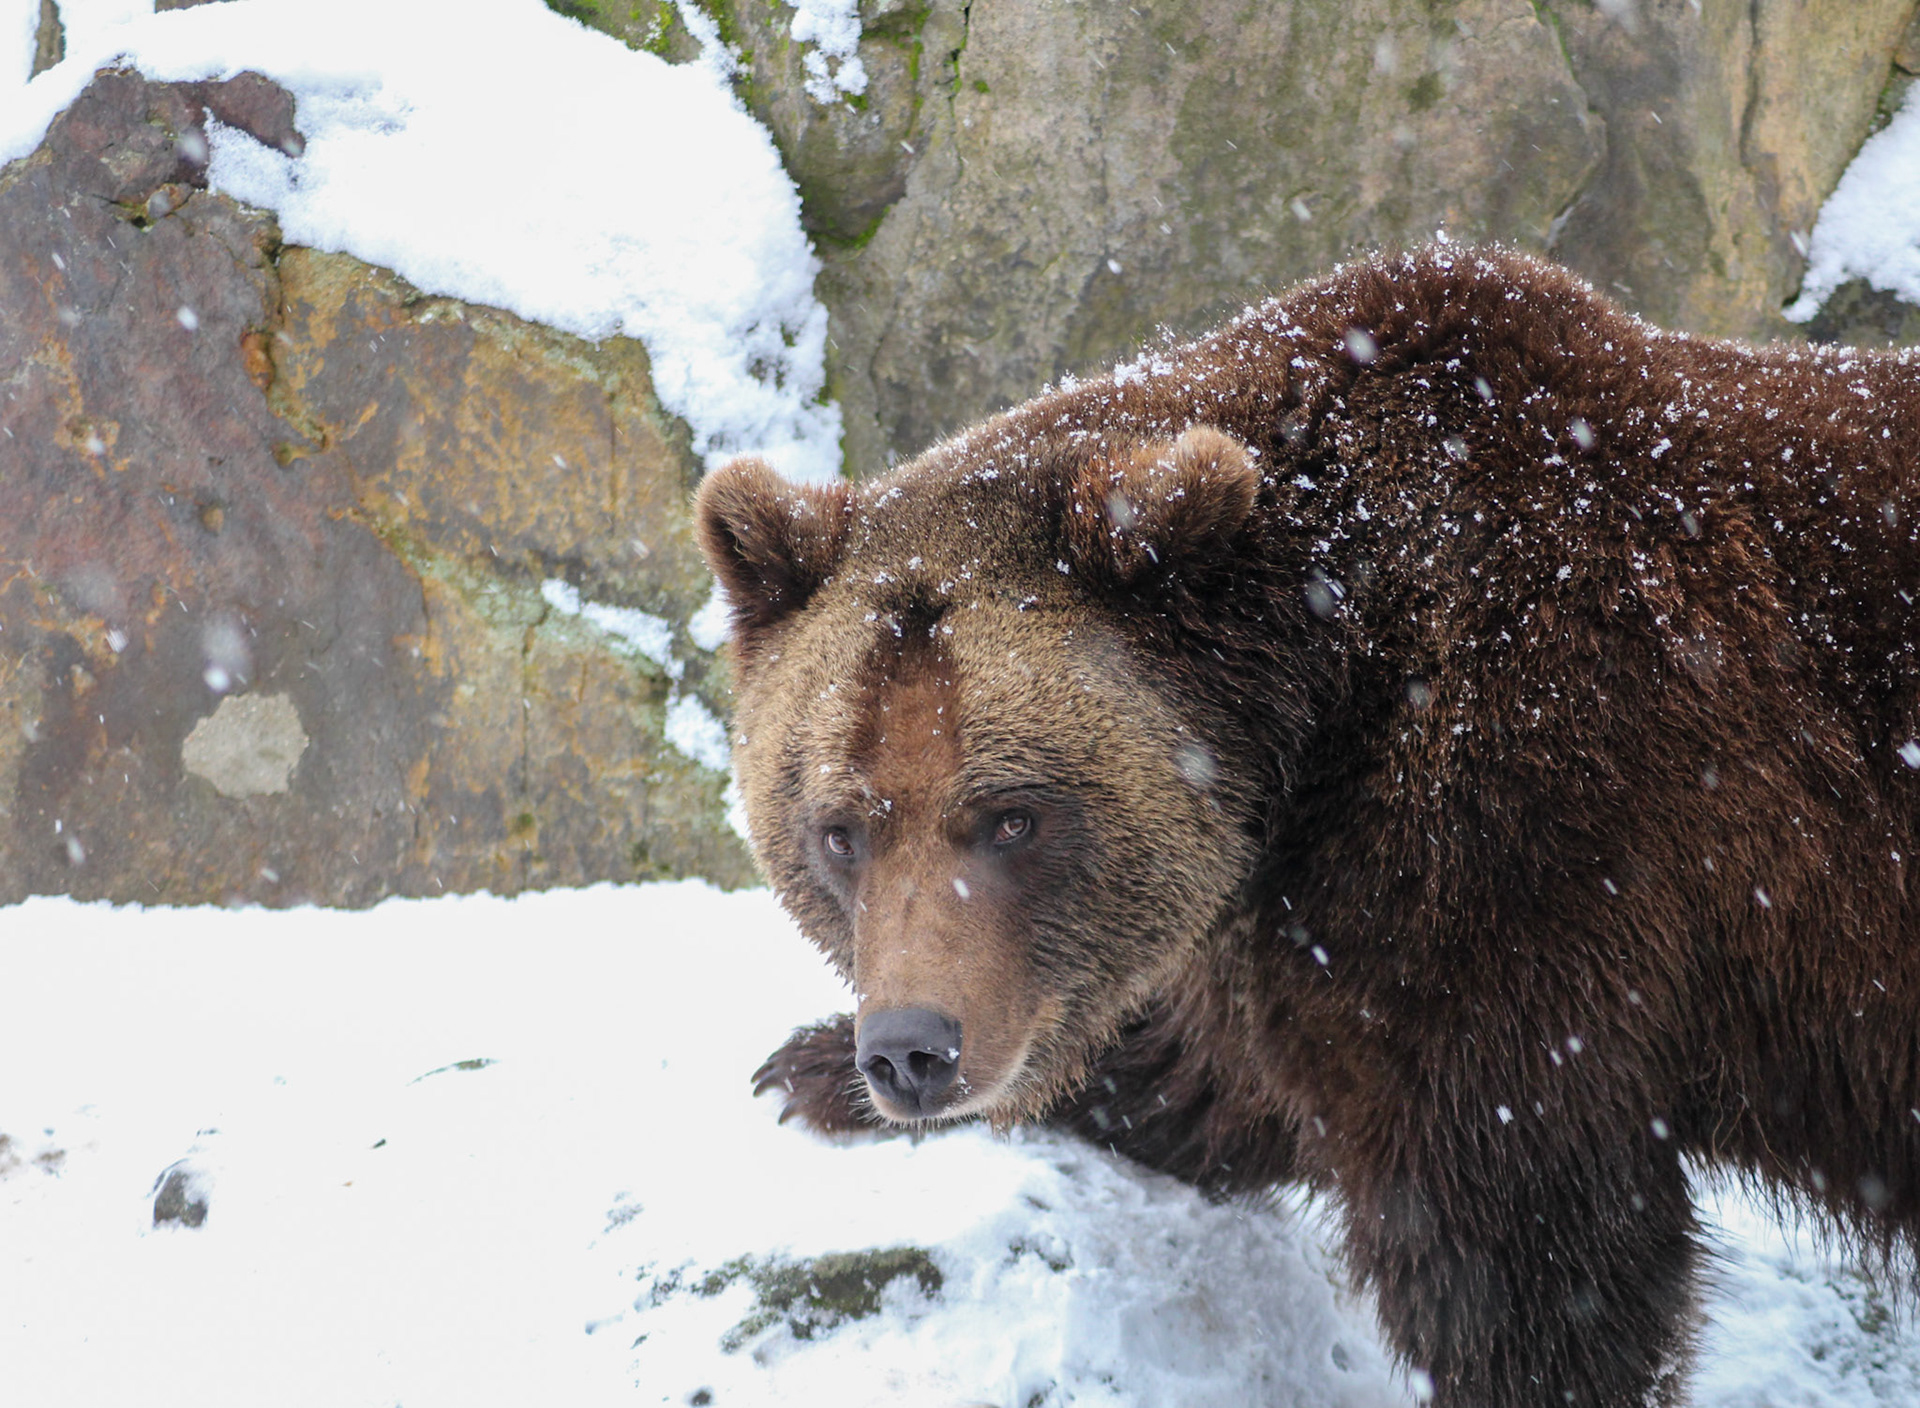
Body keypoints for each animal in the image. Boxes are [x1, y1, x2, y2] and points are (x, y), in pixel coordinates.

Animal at [693, 244, 1920, 1407]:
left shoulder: (1521, 865)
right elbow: (1222, 1075)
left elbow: (1527, 1258)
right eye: (841, 830)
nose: (910, 1049)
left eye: (1011, 818)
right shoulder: (1293, 918)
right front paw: (806, 1069)